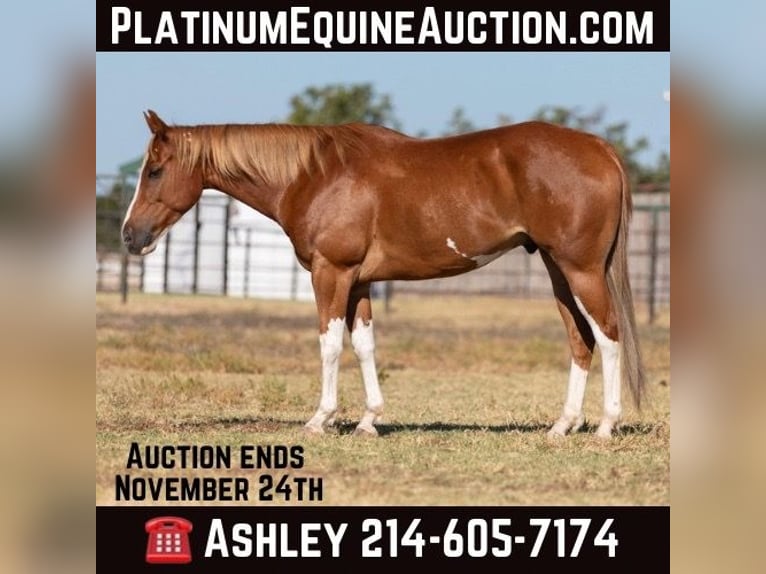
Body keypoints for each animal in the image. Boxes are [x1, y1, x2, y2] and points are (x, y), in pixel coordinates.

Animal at [122, 110, 645, 439]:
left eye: (154, 170)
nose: (130, 235)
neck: (312, 175)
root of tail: (598, 148)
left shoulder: (331, 273)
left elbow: (330, 344)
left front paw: (321, 419)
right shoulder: (359, 281)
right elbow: (364, 345)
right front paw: (368, 420)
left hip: (581, 270)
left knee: (609, 335)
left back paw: (605, 425)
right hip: (558, 272)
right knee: (581, 340)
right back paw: (563, 425)